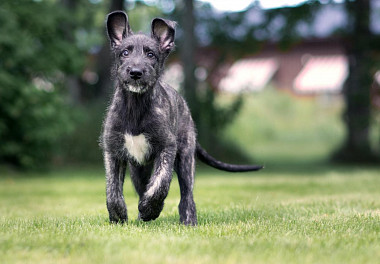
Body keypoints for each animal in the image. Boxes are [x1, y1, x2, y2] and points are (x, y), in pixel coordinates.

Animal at [100, 10, 262, 225]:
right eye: (125, 53)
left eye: (151, 54)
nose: (135, 72)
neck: (135, 107)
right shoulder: (113, 150)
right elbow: (112, 189)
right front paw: (118, 216)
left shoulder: (167, 147)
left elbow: (161, 183)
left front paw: (151, 208)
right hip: (138, 169)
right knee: (142, 187)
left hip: (185, 157)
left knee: (187, 193)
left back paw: (188, 220)